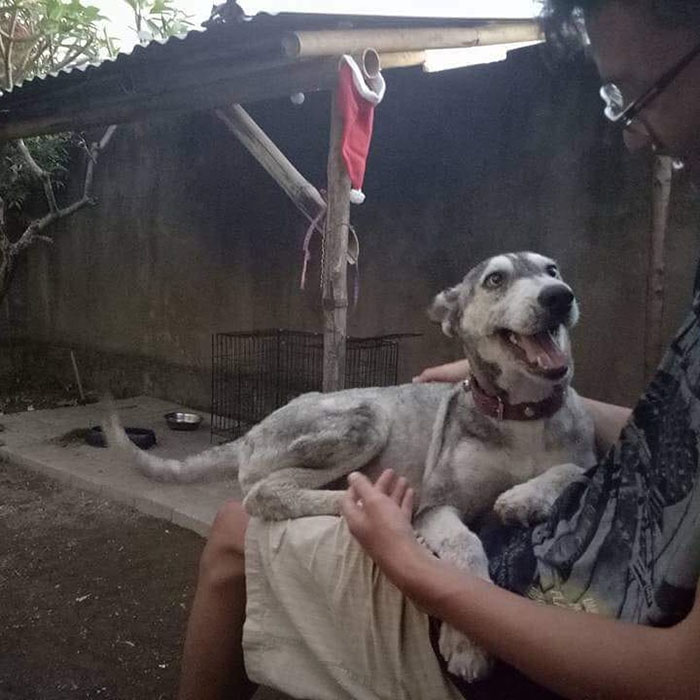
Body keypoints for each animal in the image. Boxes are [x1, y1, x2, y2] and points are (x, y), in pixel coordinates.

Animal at [104, 250, 596, 680]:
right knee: (264, 491)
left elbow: (574, 470)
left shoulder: (585, 455)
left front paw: (525, 496)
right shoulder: (438, 503)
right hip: (366, 420)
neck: (522, 414)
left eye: (552, 269)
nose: (560, 295)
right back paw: (357, 501)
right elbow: (467, 546)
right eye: (495, 279)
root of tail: (252, 430)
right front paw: (467, 645)